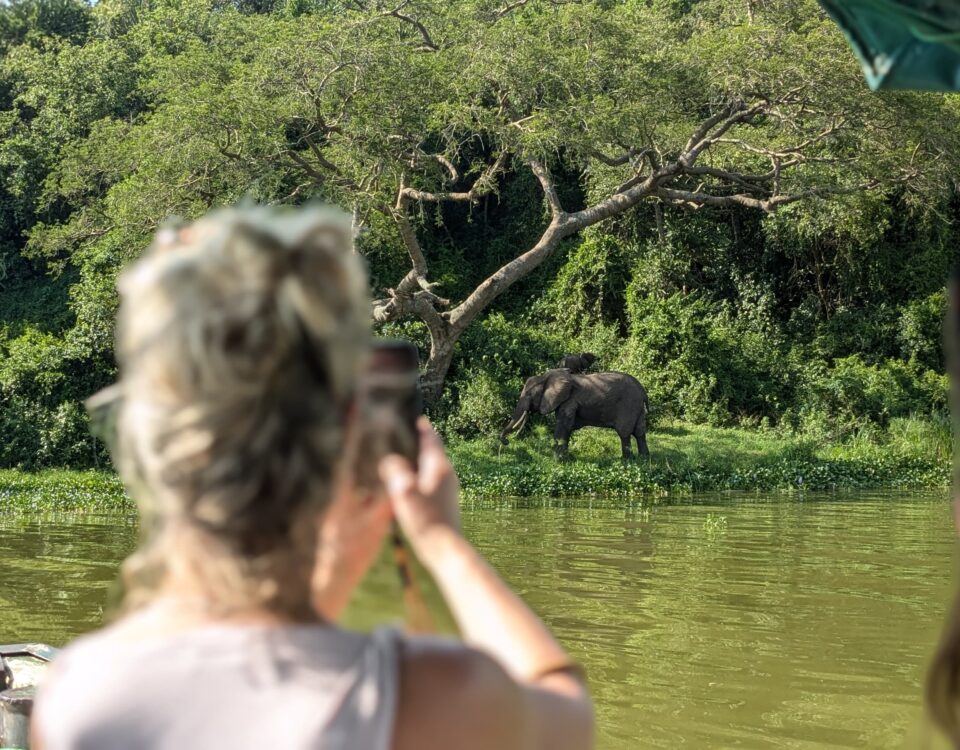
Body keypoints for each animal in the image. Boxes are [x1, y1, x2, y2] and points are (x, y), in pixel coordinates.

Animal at [498, 368, 648, 462]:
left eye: (529, 395)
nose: (507, 441)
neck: (546, 377)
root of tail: (643, 391)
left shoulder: (569, 401)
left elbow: (564, 425)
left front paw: (557, 461)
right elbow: (567, 428)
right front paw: (565, 458)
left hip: (628, 405)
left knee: (624, 432)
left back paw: (626, 460)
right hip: (637, 407)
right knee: (640, 432)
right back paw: (643, 459)